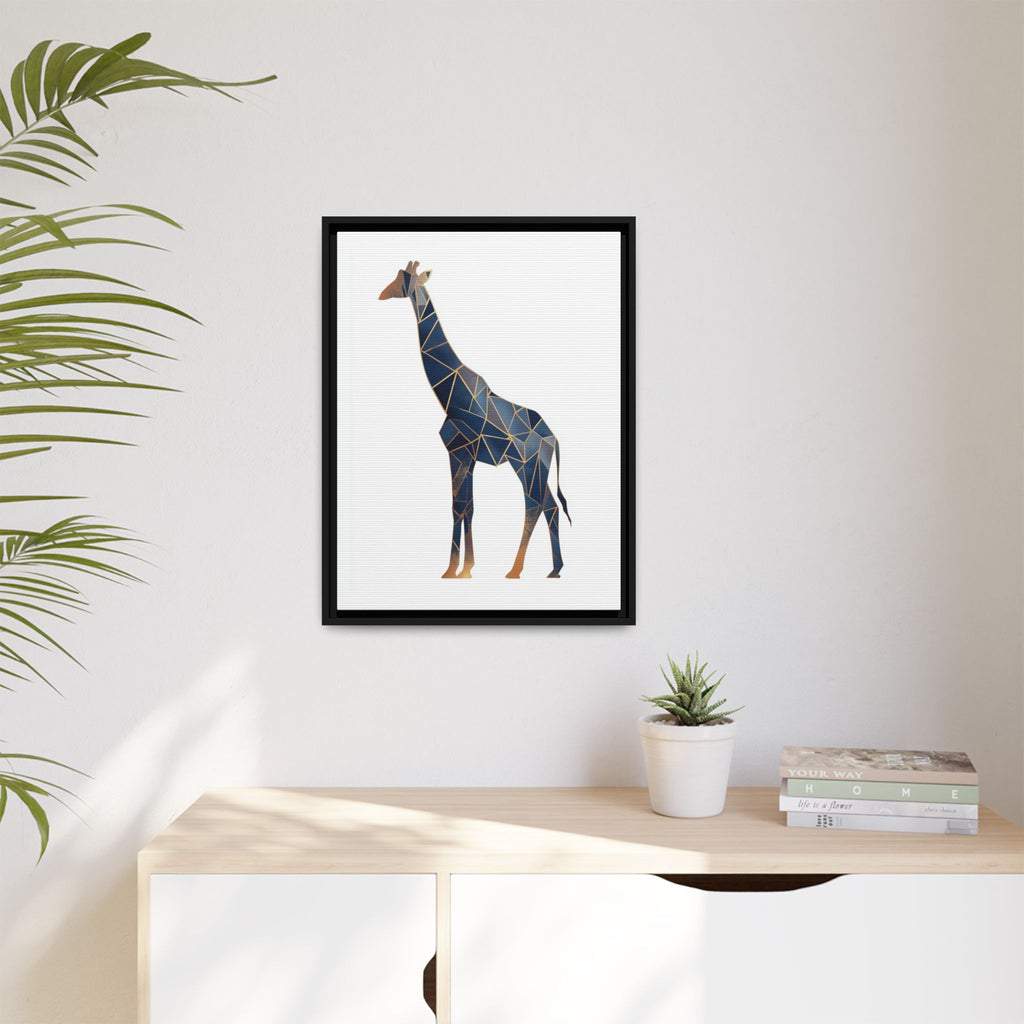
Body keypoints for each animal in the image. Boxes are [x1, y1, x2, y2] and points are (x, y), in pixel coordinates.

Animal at [379, 261, 571, 579]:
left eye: (403, 279)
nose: (382, 294)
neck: (450, 394)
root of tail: (553, 438)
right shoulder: (466, 456)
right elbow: (467, 506)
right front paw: (463, 568)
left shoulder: (458, 451)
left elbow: (459, 506)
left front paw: (455, 569)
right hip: (535, 467)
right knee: (549, 507)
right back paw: (554, 569)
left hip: (526, 464)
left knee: (534, 505)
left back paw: (515, 570)